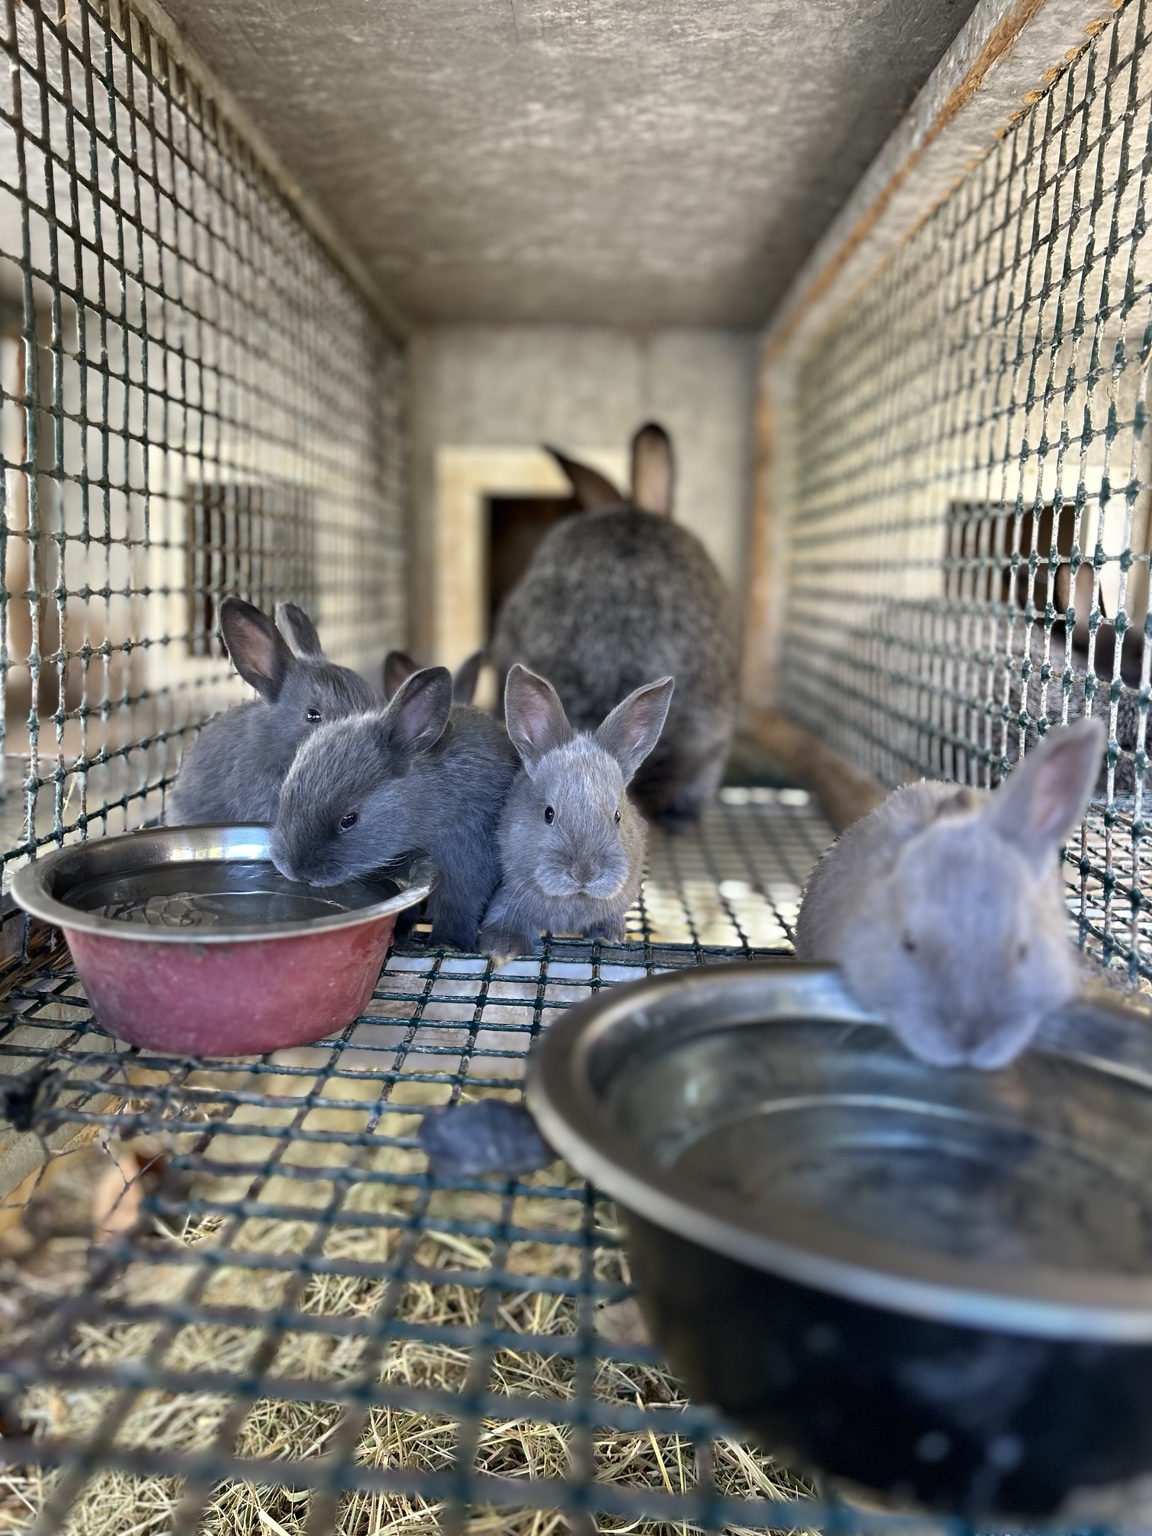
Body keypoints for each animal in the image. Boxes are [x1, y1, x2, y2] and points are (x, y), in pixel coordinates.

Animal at [269, 666, 520, 950]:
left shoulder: (466, 862)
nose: (296, 870)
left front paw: (448, 944)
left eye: (349, 819)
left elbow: (458, 908)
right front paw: (398, 933)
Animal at [478, 663, 674, 965]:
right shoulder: (506, 896)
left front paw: (609, 935)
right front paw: (500, 950)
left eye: (618, 816)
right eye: (548, 814)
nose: (584, 873)